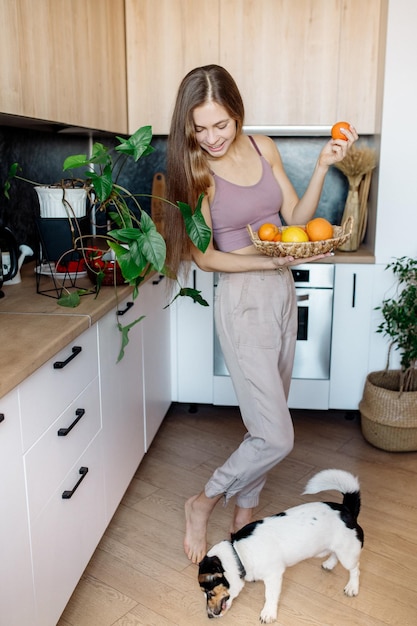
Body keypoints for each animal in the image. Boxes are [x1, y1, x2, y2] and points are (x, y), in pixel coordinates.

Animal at [197, 468, 362, 620]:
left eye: (209, 592)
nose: (209, 616)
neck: (239, 553)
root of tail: (346, 509)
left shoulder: (273, 576)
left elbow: (270, 596)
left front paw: (268, 613)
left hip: (348, 554)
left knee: (355, 569)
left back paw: (352, 587)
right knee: (334, 554)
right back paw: (329, 564)